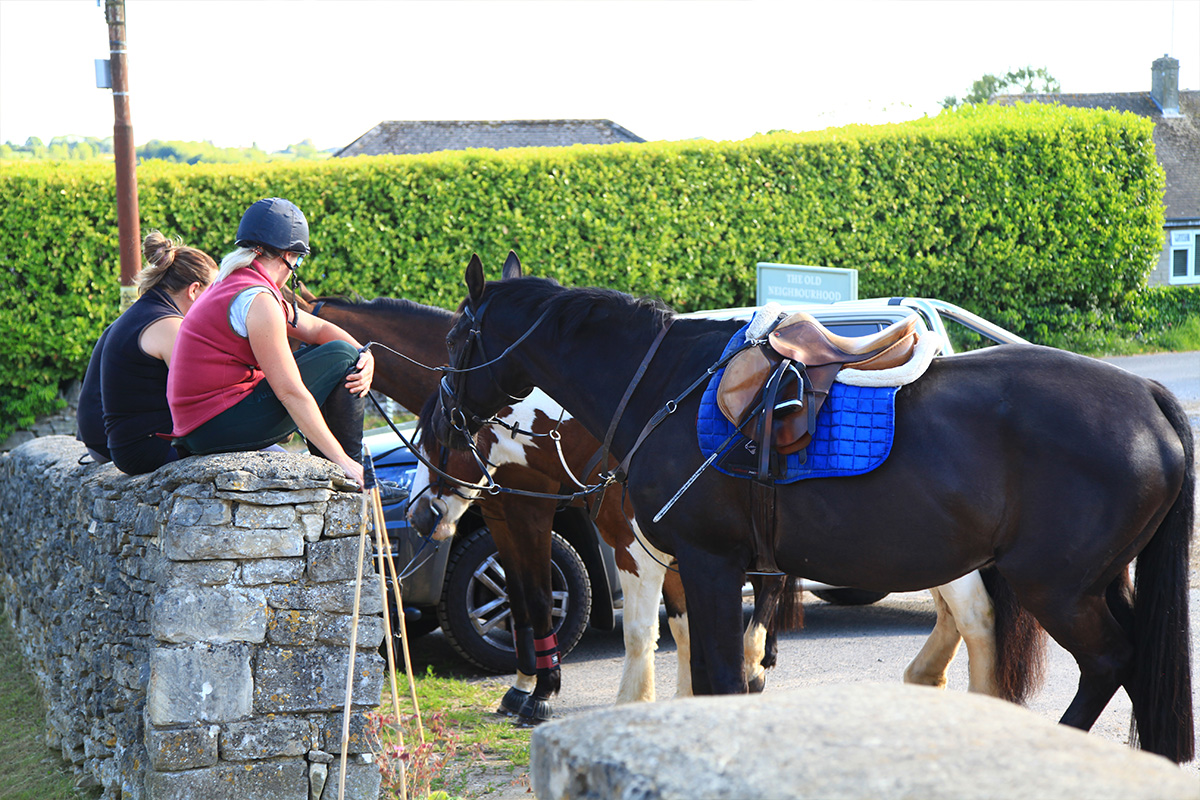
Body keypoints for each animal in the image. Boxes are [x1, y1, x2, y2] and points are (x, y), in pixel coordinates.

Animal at [429, 255, 1190, 762]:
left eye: (455, 338)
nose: (441, 428)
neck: (665, 386)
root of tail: (1147, 396)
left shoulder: (706, 563)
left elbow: (716, 677)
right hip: (1099, 581)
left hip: (1056, 586)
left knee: (1109, 662)